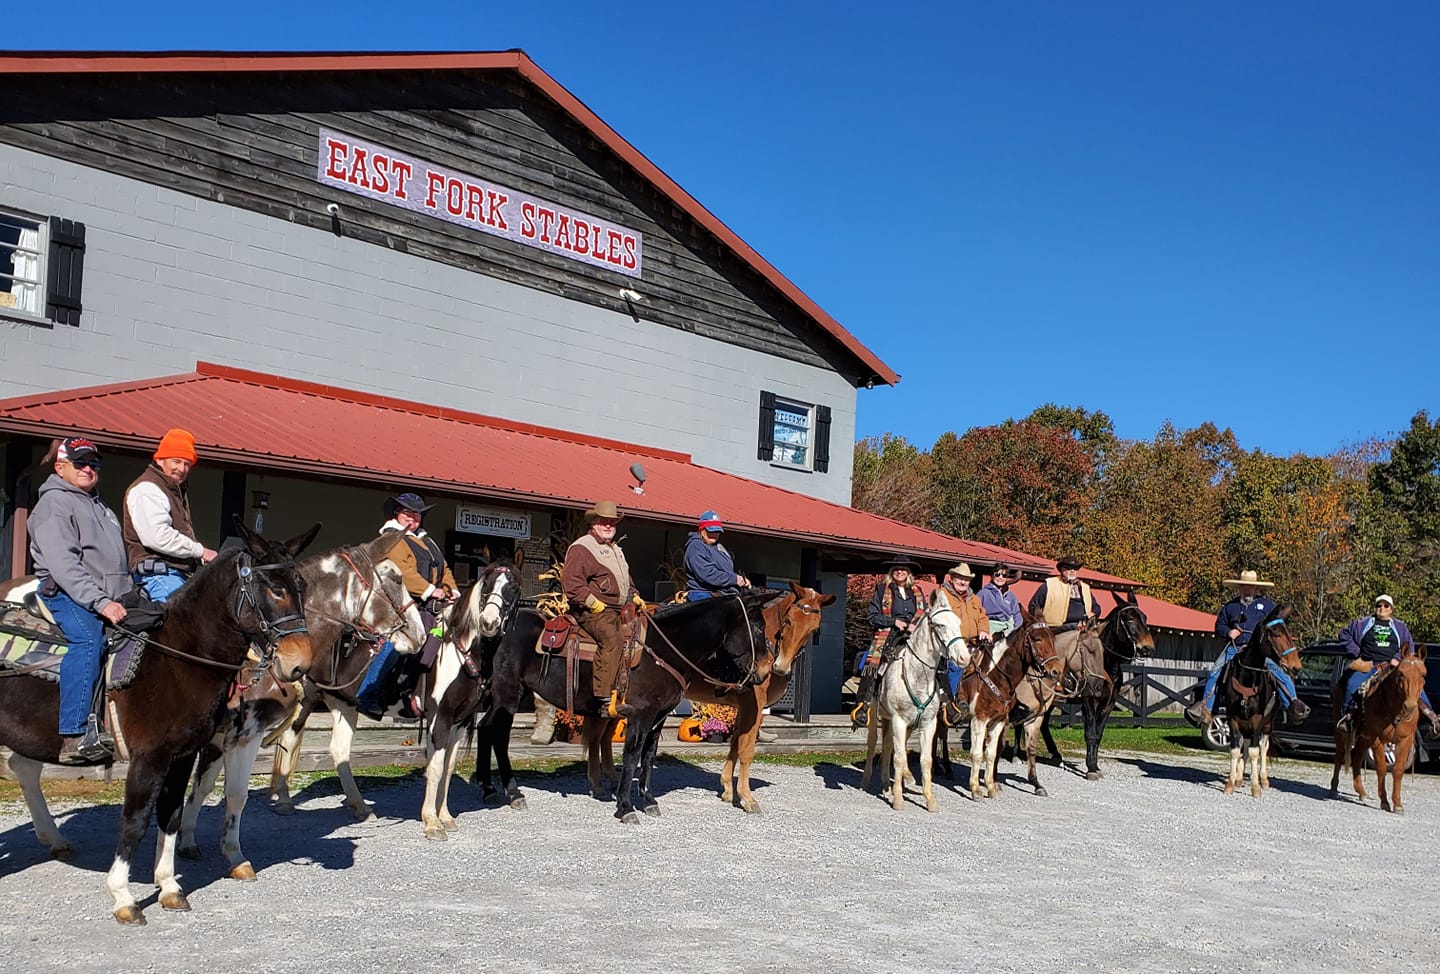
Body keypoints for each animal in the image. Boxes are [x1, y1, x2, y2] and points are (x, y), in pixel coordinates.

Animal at [0, 521, 318, 922]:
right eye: (275, 589)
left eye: (302, 586)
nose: (299, 664)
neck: (176, 659)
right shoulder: (152, 757)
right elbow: (136, 819)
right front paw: (123, 896)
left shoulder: (184, 754)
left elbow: (174, 812)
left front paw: (169, 885)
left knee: (24, 768)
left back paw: (54, 838)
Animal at [177, 533, 423, 876]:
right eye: (396, 578)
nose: (420, 634)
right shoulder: (241, 736)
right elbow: (230, 793)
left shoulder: (219, 736)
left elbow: (201, 787)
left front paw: (187, 841)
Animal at [858, 590, 973, 812]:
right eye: (940, 625)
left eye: (958, 622)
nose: (964, 658)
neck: (916, 674)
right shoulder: (898, 720)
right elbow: (899, 757)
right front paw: (898, 799)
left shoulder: (928, 723)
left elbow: (925, 760)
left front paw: (929, 799)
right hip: (877, 714)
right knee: (874, 743)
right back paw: (868, 781)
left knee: (889, 745)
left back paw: (888, 784)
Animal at [1221, 602, 1301, 801]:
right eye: (1277, 634)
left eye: (1288, 632)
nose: (1296, 666)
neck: (1247, 677)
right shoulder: (1233, 718)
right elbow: (1236, 750)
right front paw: (1230, 784)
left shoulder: (1257, 720)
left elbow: (1256, 752)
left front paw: (1256, 787)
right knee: (1246, 745)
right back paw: (1239, 778)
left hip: (1267, 724)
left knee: (1263, 747)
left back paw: (1263, 780)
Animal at [1324, 639, 1428, 812]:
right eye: (1401, 673)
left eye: (1422, 674)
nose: (1410, 706)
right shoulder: (1377, 738)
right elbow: (1382, 768)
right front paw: (1385, 802)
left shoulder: (1406, 740)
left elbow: (1398, 770)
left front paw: (1397, 804)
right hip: (1342, 732)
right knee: (1339, 756)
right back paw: (1333, 788)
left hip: (1363, 737)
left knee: (1356, 756)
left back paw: (1362, 792)